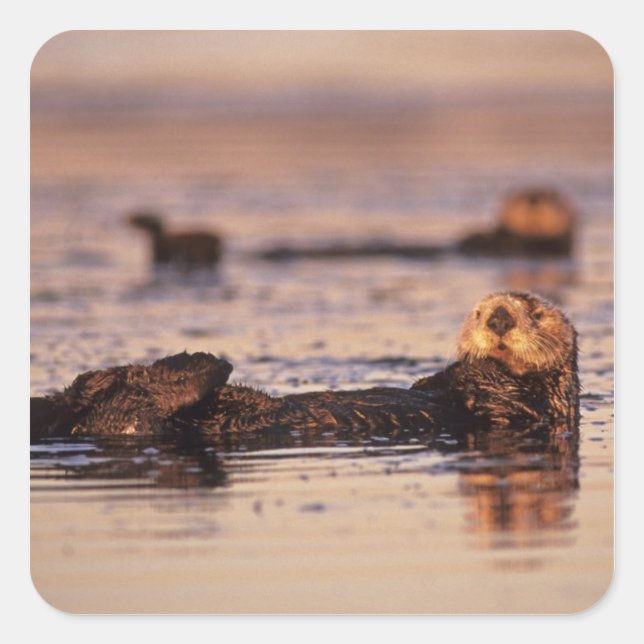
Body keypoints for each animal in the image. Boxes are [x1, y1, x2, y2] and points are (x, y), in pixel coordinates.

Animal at [30, 292, 579, 441]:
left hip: (136, 420)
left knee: (125, 411)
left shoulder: (531, 408)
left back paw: (199, 363)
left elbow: (493, 391)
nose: (500, 316)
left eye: (536, 312)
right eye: (479, 311)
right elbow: (437, 379)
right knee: (93, 394)